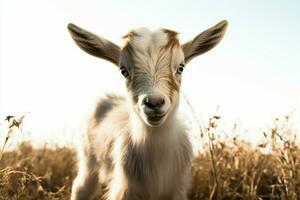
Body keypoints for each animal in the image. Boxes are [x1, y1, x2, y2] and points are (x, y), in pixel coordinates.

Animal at [67, 20, 227, 200]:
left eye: (181, 68)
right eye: (123, 71)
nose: (154, 103)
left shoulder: (176, 189)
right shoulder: (124, 190)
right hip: (87, 159)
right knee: (81, 187)